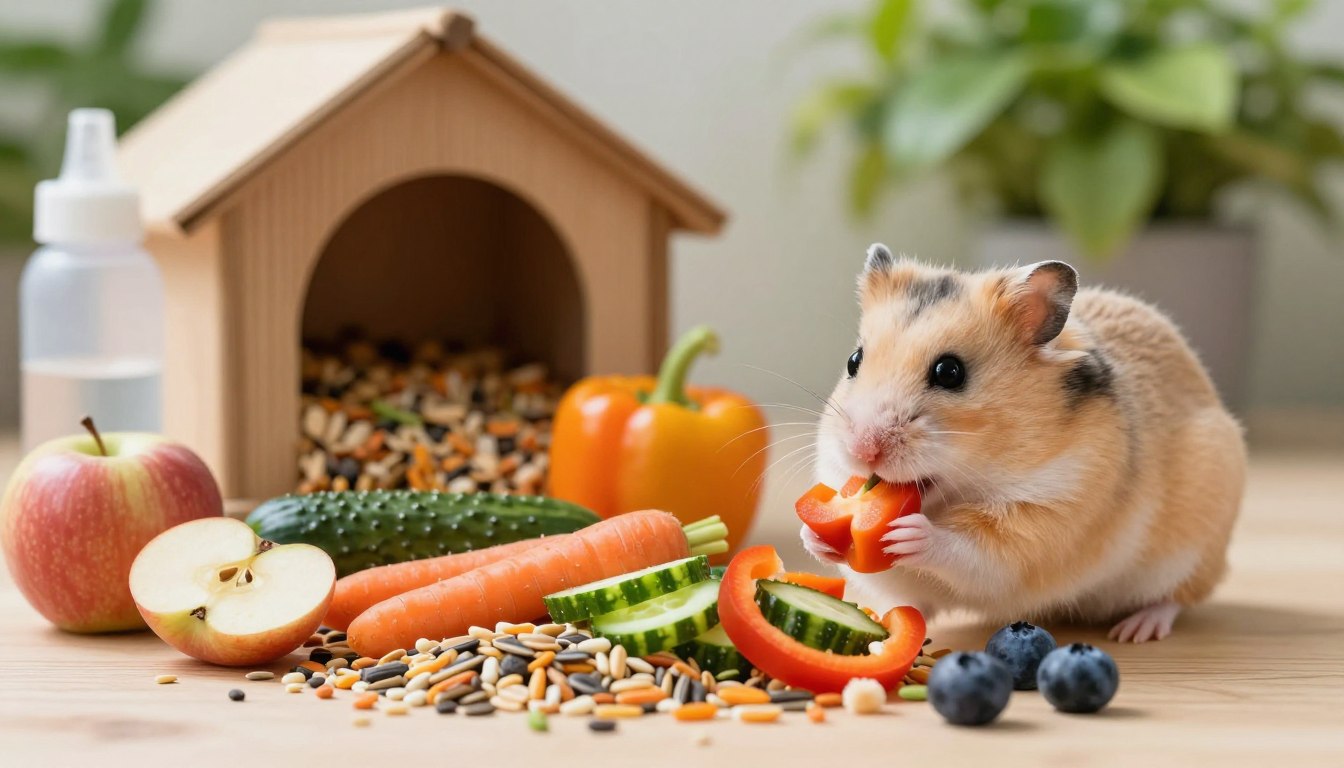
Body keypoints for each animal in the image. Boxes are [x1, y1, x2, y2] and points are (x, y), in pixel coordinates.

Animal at [803, 244, 1246, 643]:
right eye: (854, 361)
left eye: (950, 372)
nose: (863, 450)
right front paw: (815, 538)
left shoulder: (1046, 518)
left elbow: (969, 550)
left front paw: (908, 533)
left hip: (1192, 549)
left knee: (1177, 598)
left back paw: (1136, 630)